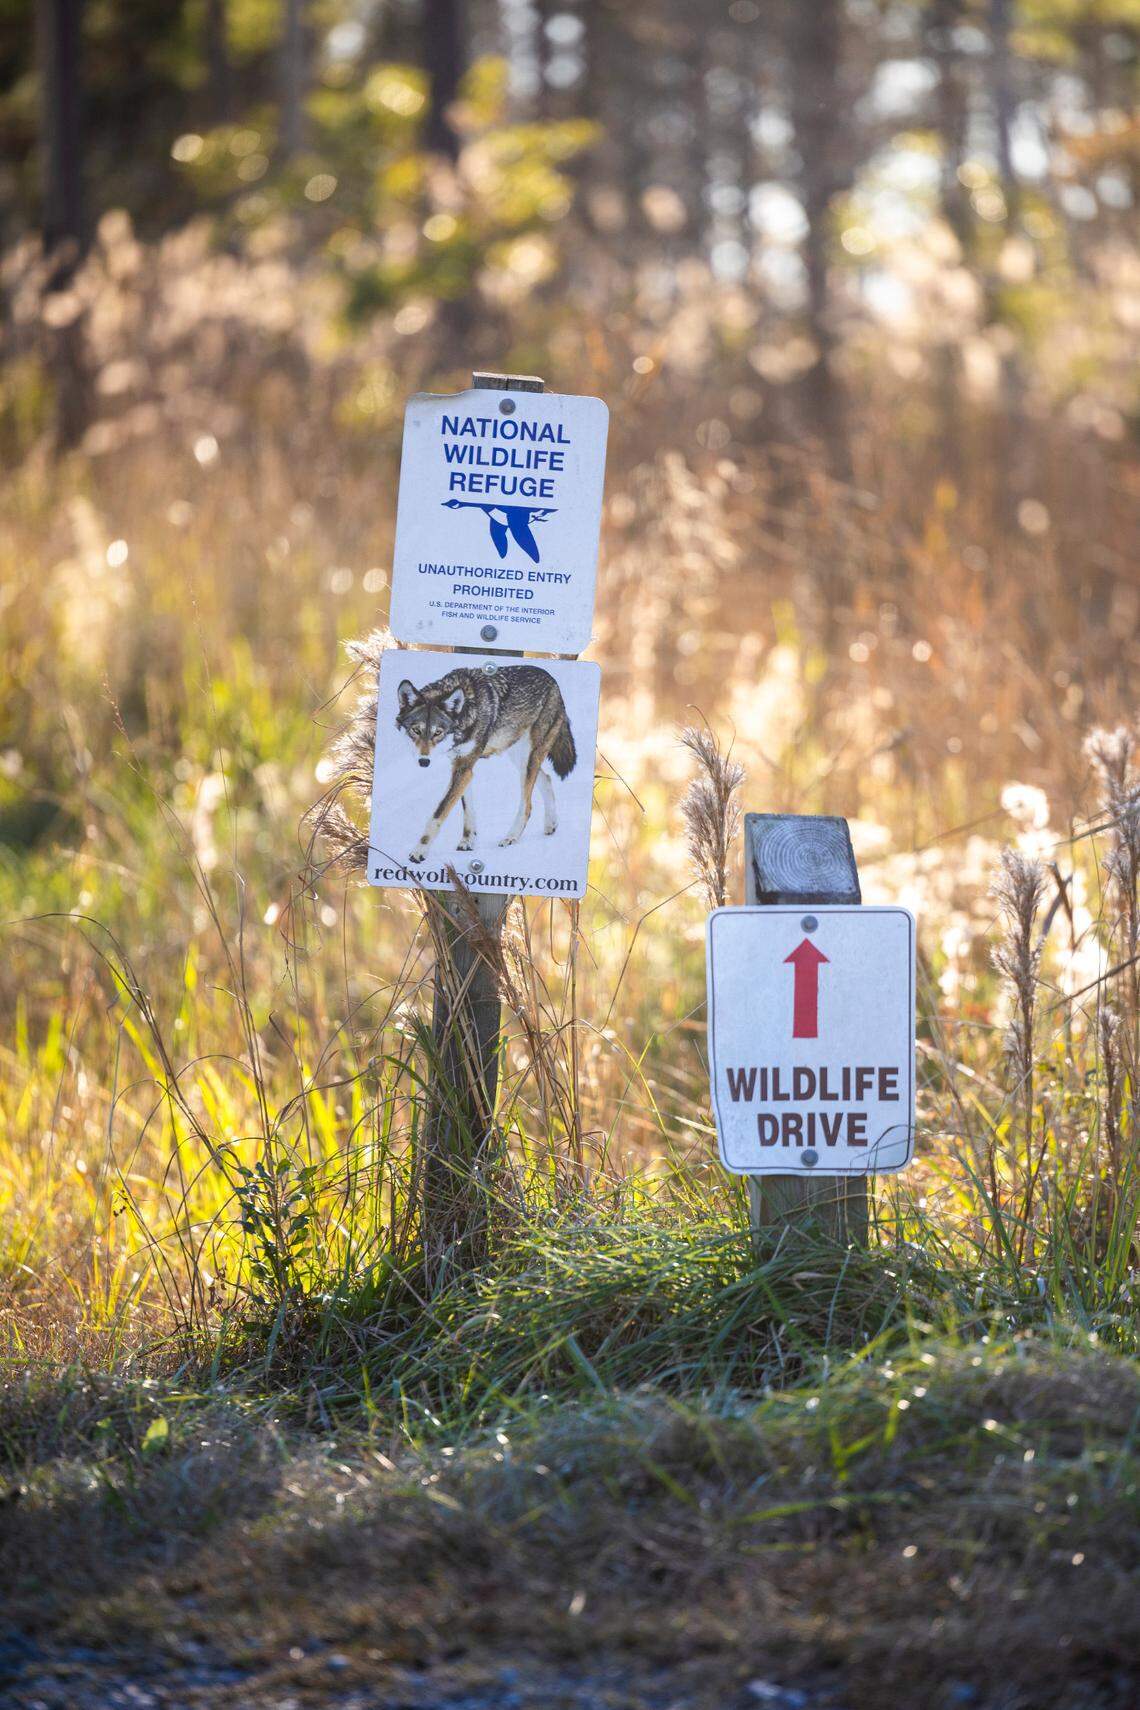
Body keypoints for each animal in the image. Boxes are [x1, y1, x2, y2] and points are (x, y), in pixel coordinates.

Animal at [395, 665, 577, 861]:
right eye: (416, 730)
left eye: (438, 733)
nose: (424, 761)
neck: (467, 711)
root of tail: (553, 680)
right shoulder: (462, 766)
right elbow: (468, 809)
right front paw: (468, 841)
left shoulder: (464, 767)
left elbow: (438, 814)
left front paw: (419, 851)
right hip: (520, 758)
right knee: (547, 778)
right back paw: (551, 824)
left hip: (529, 758)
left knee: (527, 804)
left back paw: (511, 837)